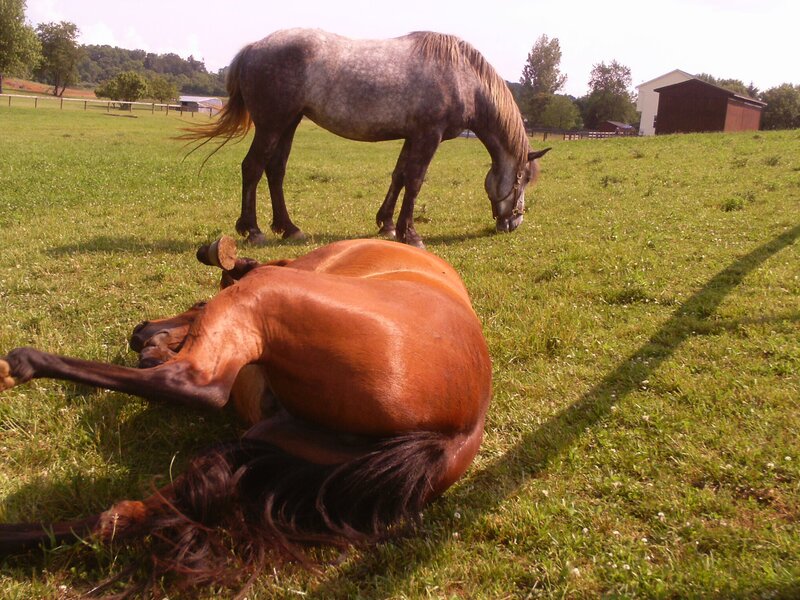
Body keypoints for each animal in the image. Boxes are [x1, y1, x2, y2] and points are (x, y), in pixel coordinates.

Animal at [0, 237, 491, 593]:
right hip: (275, 444)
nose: (139, 333)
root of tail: (456, 433)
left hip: (264, 300)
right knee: (121, 517)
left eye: (198, 304)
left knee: (196, 385)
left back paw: (24, 363)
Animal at [183, 29, 551, 248]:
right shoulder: (428, 135)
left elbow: (399, 176)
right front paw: (410, 234)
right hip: (272, 124)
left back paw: (288, 227)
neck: (463, 78)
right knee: (253, 167)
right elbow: (415, 181)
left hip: (289, 123)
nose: (514, 222)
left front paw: (386, 225)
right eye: (522, 180)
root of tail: (253, 48)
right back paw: (253, 230)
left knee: (275, 170)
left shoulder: (412, 136)